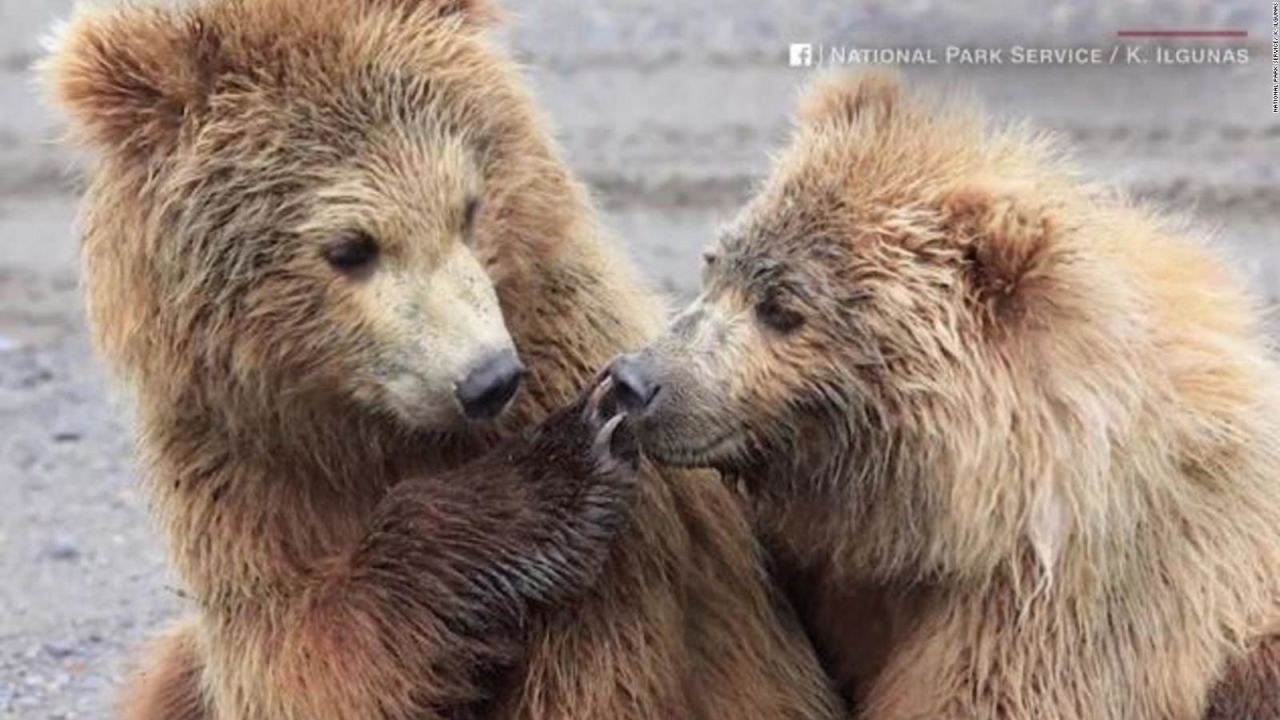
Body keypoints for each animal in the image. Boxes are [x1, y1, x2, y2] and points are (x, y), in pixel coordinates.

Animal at [40, 1, 839, 717]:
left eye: (468, 206)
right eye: (350, 247)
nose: (488, 379)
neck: (375, 431)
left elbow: (601, 667)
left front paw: (572, 447)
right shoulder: (245, 479)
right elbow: (309, 655)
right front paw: (548, 478)